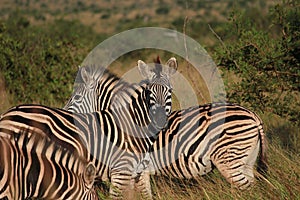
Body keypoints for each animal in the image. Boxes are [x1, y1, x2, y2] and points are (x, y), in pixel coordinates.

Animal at [0, 57, 178, 199]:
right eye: (149, 93)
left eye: (170, 91)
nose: (160, 119)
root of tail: (6, 114)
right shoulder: (120, 172)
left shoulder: (140, 173)